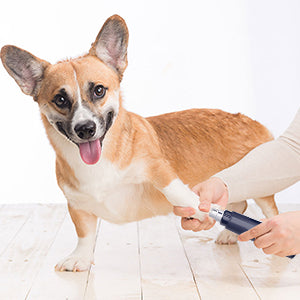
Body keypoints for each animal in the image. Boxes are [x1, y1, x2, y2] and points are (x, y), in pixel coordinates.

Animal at [0, 14, 278, 272]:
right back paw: (230, 233)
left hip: (263, 187)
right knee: (240, 202)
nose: (85, 129)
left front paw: (198, 208)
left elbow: (176, 190)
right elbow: (84, 233)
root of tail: (252, 121)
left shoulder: (158, 169)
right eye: (60, 99)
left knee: (269, 212)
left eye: (99, 90)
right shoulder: (76, 204)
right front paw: (80, 258)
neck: (100, 162)